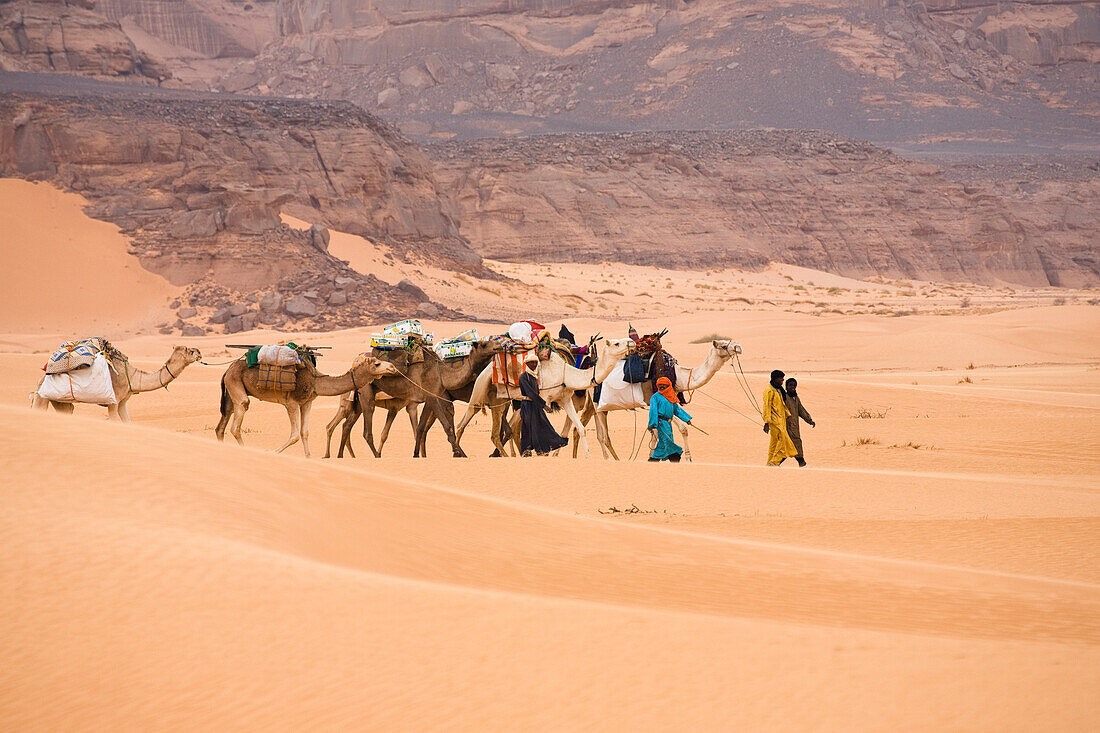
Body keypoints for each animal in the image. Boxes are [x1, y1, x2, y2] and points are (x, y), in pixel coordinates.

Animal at [32, 343, 203, 420]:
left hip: (60, 401)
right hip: (42, 396)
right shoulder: (113, 402)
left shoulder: (122, 402)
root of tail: (41, 379)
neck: (131, 377)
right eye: (190, 350)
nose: (200, 352)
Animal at [214, 352, 400, 453]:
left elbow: (304, 433)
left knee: (222, 425)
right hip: (236, 385)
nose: (392, 367)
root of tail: (227, 370)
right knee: (237, 421)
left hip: (231, 391)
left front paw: (308, 457)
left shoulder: (307, 403)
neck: (315, 380)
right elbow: (295, 435)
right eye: (377, 363)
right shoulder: (291, 403)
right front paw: (272, 451)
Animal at [323, 338, 501, 457]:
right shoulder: (431, 395)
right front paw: (459, 454)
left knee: (347, 425)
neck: (442, 374)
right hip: (366, 393)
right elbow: (446, 426)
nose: (499, 345)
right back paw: (376, 456)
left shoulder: (428, 398)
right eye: (484, 344)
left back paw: (340, 456)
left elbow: (420, 427)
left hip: (359, 399)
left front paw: (417, 454)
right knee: (366, 431)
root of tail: (355, 362)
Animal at [453, 336, 633, 457]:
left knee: (498, 430)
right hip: (480, 391)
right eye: (617, 343)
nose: (632, 342)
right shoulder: (544, 399)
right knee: (467, 422)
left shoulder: (565, 400)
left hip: (501, 400)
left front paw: (588, 456)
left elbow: (580, 429)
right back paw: (461, 453)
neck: (564, 373)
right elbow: (542, 430)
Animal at [589, 338, 743, 460]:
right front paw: (688, 458)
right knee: (605, 436)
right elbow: (682, 429)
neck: (679, 376)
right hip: (598, 403)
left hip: (599, 406)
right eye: (723, 346)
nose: (739, 347)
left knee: (600, 434)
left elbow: (655, 433)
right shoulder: (654, 400)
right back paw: (614, 459)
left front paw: (652, 456)